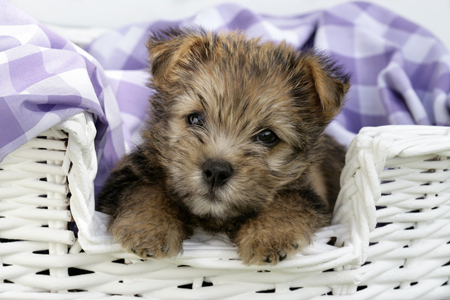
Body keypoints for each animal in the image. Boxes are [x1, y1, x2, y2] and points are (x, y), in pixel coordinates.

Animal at [98, 25, 350, 264]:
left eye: (268, 136)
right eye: (195, 119)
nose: (216, 171)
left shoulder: (307, 190)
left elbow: (288, 201)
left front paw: (269, 235)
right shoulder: (132, 172)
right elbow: (145, 190)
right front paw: (148, 229)